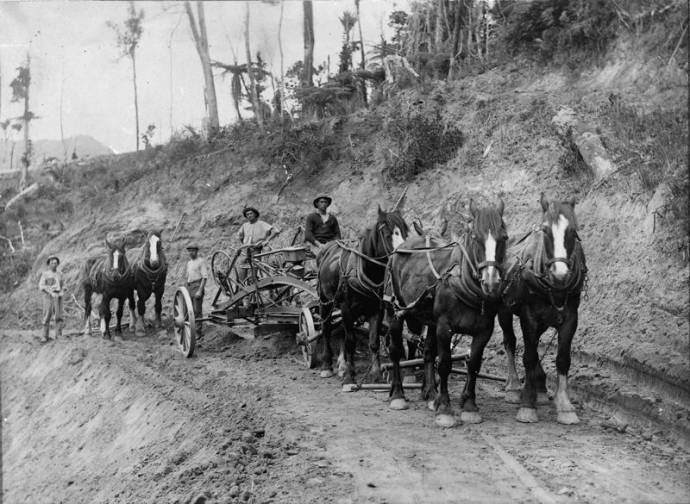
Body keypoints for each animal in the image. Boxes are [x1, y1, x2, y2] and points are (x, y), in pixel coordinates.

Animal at [318, 204, 408, 386]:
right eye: (387, 233)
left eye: (404, 231)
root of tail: (328, 247)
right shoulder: (346, 308)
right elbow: (350, 342)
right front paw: (349, 377)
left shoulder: (376, 310)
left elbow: (373, 342)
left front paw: (376, 374)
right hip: (326, 302)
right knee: (326, 329)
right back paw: (327, 365)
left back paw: (341, 365)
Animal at [384, 199, 508, 428]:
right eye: (475, 237)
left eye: (504, 237)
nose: (491, 282)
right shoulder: (444, 326)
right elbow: (444, 364)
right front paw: (445, 409)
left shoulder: (484, 331)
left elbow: (474, 365)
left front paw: (469, 407)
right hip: (395, 310)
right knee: (395, 350)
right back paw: (397, 394)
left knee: (427, 352)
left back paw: (431, 394)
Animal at [494, 195, 584, 424]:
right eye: (545, 231)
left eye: (573, 231)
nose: (560, 275)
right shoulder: (529, 316)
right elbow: (528, 356)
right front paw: (527, 403)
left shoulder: (571, 318)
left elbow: (562, 359)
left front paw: (565, 405)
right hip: (504, 310)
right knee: (510, 341)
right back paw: (514, 386)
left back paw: (540, 387)